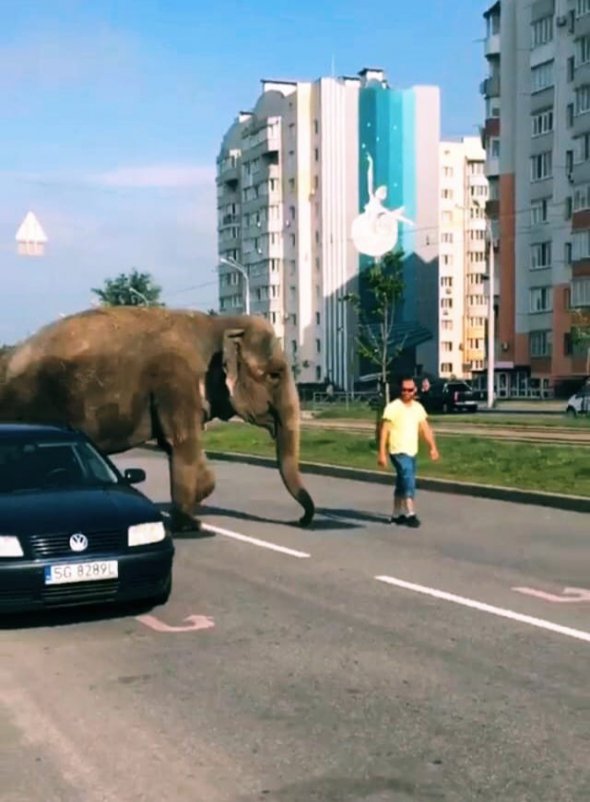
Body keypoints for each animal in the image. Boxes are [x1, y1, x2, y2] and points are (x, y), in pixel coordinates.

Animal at [0, 310, 316, 528]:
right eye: (275, 375)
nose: (300, 521)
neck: (219, 324)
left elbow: (174, 445)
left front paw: (189, 510)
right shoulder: (176, 382)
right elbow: (182, 442)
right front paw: (190, 522)